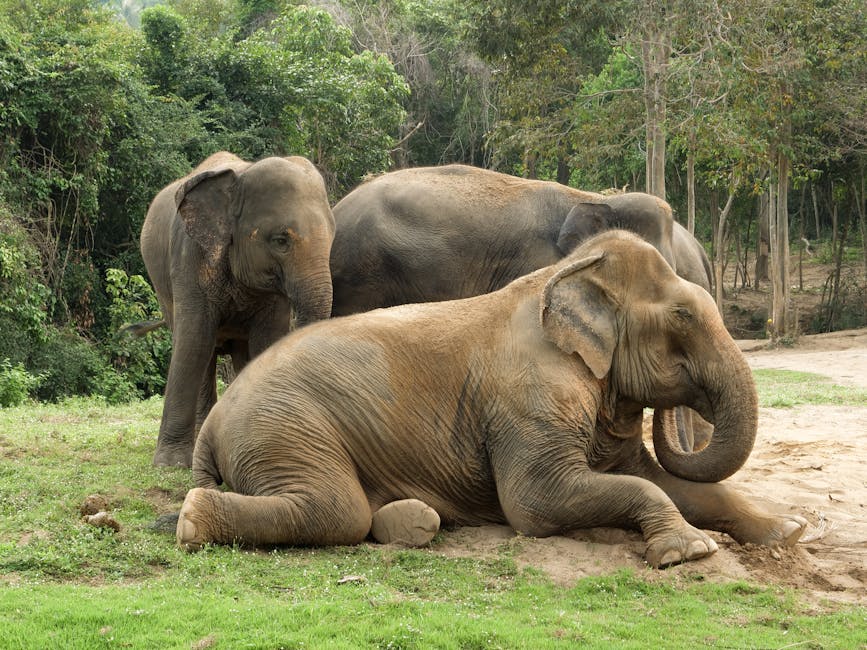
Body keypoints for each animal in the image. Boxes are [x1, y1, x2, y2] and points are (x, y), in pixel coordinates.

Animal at [140, 151, 335, 467]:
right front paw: (171, 463)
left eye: (333, 237)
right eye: (281, 240)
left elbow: (266, 342)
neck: (241, 176)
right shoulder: (189, 257)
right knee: (203, 351)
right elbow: (193, 342)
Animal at [175, 230, 806, 568]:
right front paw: (688, 552)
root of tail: (218, 418)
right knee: (336, 508)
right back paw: (192, 519)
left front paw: (790, 529)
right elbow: (537, 502)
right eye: (682, 316)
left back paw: (415, 523)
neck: (564, 274)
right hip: (283, 427)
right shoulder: (529, 398)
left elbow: (663, 481)